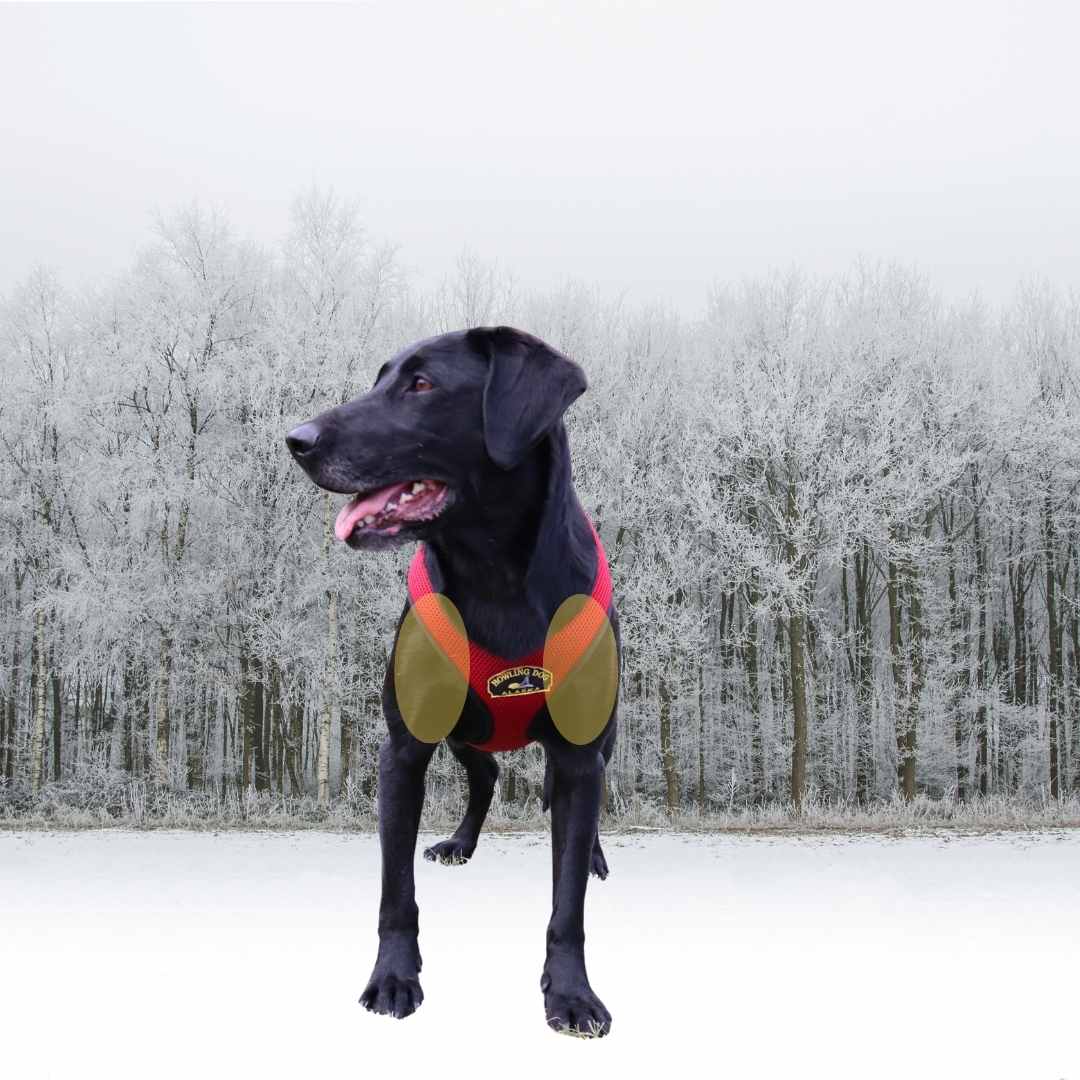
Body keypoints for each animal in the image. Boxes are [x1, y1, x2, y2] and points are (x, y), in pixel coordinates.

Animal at [287, 324, 622, 1032]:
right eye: (380, 377)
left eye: (421, 384)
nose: (297, 439)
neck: (494, 573)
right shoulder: (403, 748)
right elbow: (395, 891)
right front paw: (392, 978)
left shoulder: (579, 754)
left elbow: (568, 902)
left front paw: (571, 993)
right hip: (465, 728)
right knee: (486, 771)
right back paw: (461, 844)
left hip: (600, 738)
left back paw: (596, 855)